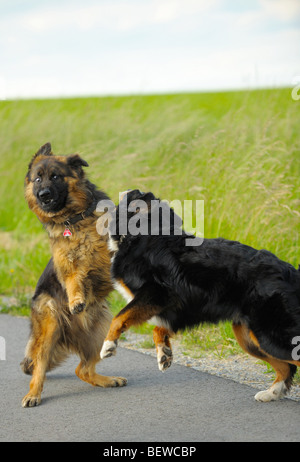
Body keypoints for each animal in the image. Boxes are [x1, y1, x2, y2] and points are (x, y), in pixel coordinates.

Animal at [20, 143, 126, 406]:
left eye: (56, 176)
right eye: (38, 178)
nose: (43, 195)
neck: (73, 220)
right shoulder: (68, 266)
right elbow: (73, 280)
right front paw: (76, 300)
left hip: (101, 328)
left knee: (83, 369)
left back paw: (108, 380)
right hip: (49, 326)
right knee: (39, 369)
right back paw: (33, 394)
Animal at [101, 189, 300, 402]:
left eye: (136, 195)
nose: (131, 190)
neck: (143, 233)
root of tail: (291, 272)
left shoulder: (156, 293)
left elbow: (118, 318)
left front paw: (108, 346)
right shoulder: (175, 309)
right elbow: (157, 329)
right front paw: (165, 354)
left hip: (270, 333)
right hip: (250, 336)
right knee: (285, 367)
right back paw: (271, 393)